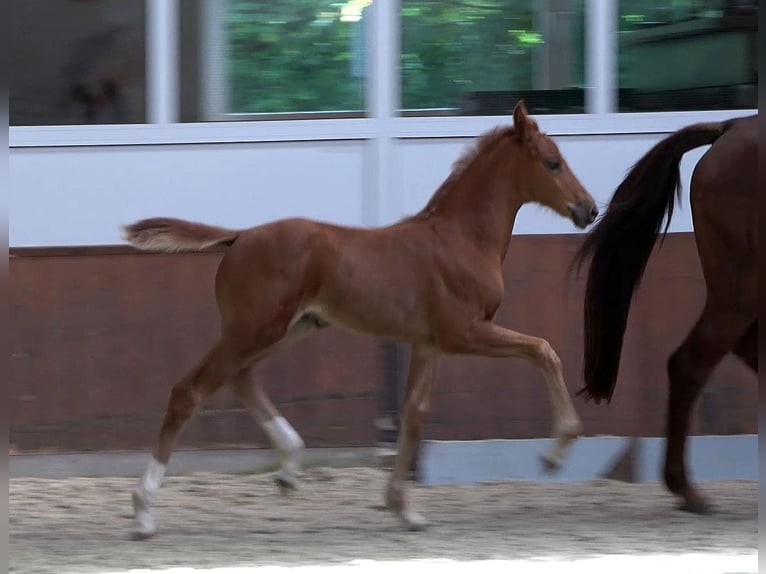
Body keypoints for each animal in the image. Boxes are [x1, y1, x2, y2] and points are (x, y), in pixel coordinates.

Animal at [121, 101, 598, 539]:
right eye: (553, 162)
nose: (589, 209)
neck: (461, 239)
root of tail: (239, 237)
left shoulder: (428, 344)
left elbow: (415, 415)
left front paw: (403, 509)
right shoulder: (464, 332)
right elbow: (543, 350)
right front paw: (556, 450)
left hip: (288, 328)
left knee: (240, 378)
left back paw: (289, 467)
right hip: (254, 329)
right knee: (190, 390)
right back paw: (144, 511)